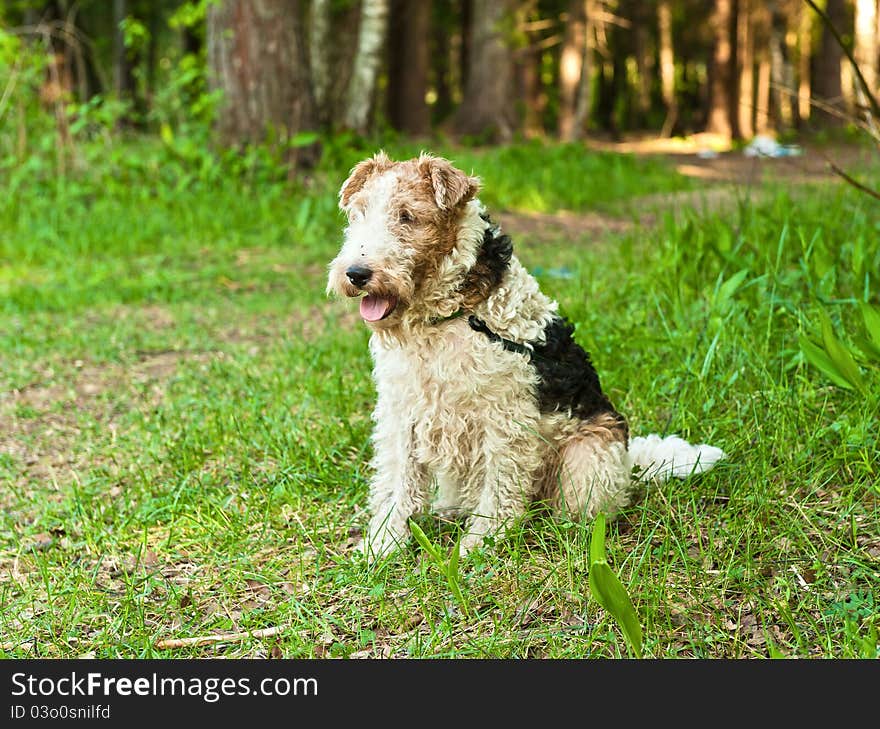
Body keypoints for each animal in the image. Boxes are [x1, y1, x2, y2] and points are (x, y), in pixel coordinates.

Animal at [324, 149, 720, 556]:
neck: (449, 314)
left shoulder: (503, 416)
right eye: (358, 213)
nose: (355, 274)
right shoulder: (403, 411)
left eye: (407, 215)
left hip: (588, 457)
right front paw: (383, 543)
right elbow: (396, 483)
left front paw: (480, 543)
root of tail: (630, 464)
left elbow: (499, 485)